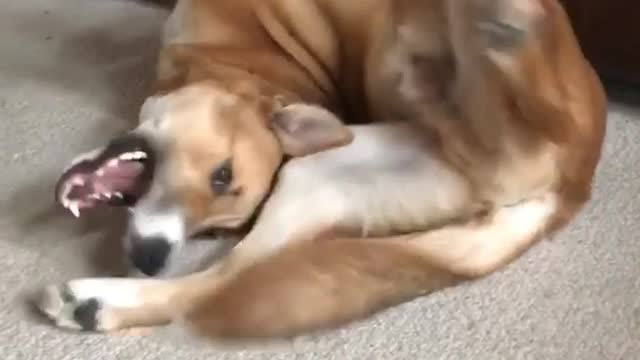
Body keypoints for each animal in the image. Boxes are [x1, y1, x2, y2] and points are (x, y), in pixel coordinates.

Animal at [36, 0, 604, 340]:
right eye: (214, 231)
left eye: (221, 176)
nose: (150, 258)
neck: (243, 57)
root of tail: (574, 188)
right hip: (322, 175)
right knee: (223, 282)